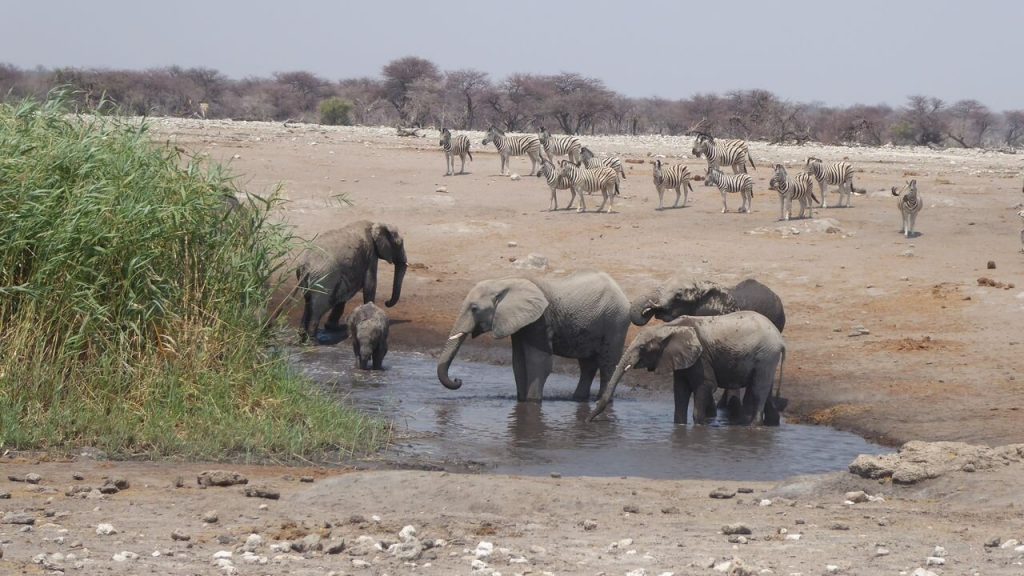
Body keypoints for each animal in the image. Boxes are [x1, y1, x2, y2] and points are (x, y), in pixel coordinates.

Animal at [437, 271, 631, 402]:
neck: (504, 282)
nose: (458, 380)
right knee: (587, 365)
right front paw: (521, 401)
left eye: (474, 309)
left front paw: (532, 402)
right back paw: (578, 399)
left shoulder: (541, 319)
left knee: (607, 363)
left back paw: (601, 400)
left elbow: (539, 362)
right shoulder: (520, 323)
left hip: (616, 321)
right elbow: (518, 362)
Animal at [589, 311, 786, 426]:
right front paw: (680, 428)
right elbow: (680, 391)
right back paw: (772, 424)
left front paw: (698, 427)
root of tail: (780, 340)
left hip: (766, 355)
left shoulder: (701, 357)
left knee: (759, 389)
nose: (588, 420)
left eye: (643, 348)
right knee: (764, 389)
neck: (668, 328)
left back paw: (754, 427)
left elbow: (706, 386)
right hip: (767, 357)